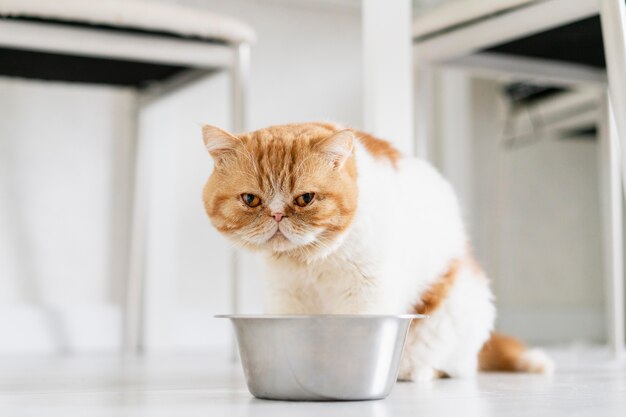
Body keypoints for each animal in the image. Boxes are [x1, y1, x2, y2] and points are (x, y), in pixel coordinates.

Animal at [200, 121, 552, 380]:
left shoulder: (365, 293)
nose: (276, 216)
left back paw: (415, 373)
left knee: (446, 367)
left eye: (305, 199)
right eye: (250, 200)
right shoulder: (286, 298)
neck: (310, 262)